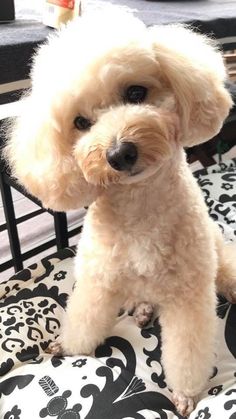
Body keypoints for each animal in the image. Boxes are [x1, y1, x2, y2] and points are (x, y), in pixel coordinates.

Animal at [4, 9, 236, 416]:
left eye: (135, 93)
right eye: (80, 122)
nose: (119, 154)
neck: (139, 205)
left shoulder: (189, 296)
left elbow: (187, 351)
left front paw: (186, 394)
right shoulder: (97, 282)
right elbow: (83, 320)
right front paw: (69, 347)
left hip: (217, 262)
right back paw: (140, 309)